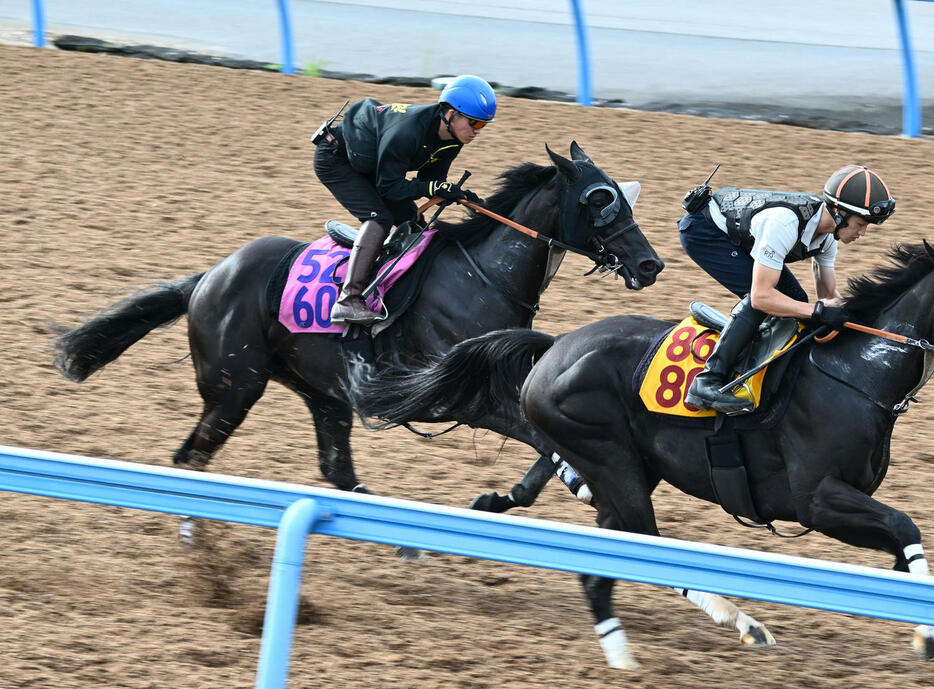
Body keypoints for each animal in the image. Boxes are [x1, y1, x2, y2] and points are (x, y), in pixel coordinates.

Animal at [53, 141, 664, 506]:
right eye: (600, 200)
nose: (649, 264)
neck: (484, 276)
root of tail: (210, 277)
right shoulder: (451, 396)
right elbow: (539, 433)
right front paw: (524, 493)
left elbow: (546, 431)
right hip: (234, 388)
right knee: (193, 456)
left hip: (323, 394)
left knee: (336, 470)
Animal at [350, 242, 934, 668]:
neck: (858, 372)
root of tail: (556, 345)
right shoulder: (816, 499)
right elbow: (905, 526)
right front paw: (924, 636)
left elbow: (902, 554)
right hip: (614, 462)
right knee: (649, 548)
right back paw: (740, 623)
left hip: (623, 468)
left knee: (603, 562)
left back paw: (619, 650)